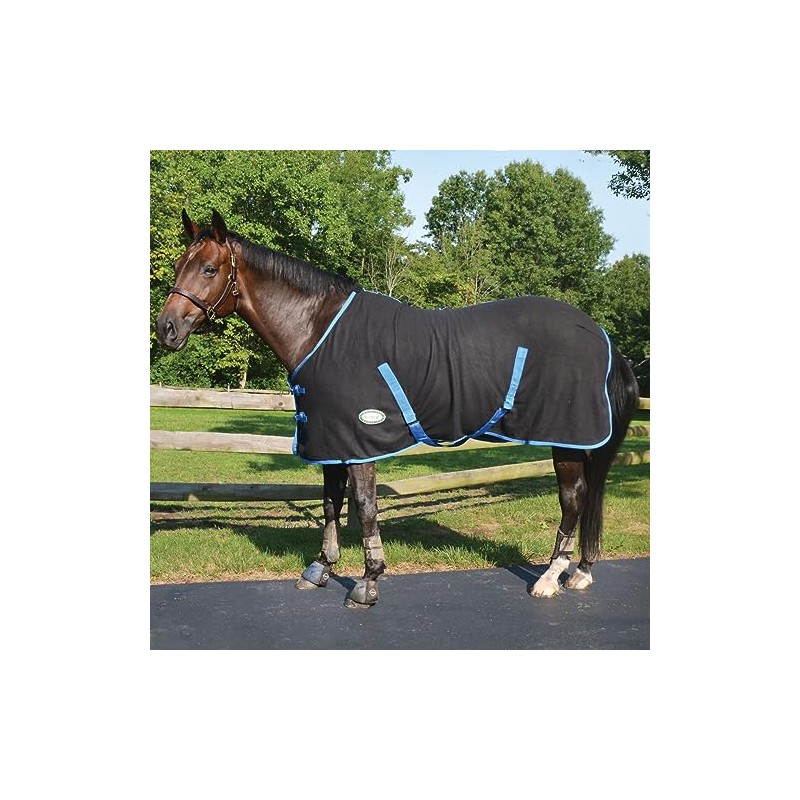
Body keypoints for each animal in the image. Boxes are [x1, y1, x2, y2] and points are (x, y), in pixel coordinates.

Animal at [155, 209, 640, 609]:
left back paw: (550, 578)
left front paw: (368, 584)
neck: (319, 330)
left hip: (567, 441)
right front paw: (320, 570)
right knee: (586, 498)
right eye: (178, 266)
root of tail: (601, 334)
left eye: (209, 268)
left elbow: (366, 507)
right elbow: (330, 504)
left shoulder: (359, 442)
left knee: (573, 500)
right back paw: (580, 572)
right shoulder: (331, 439)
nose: (167, 328)